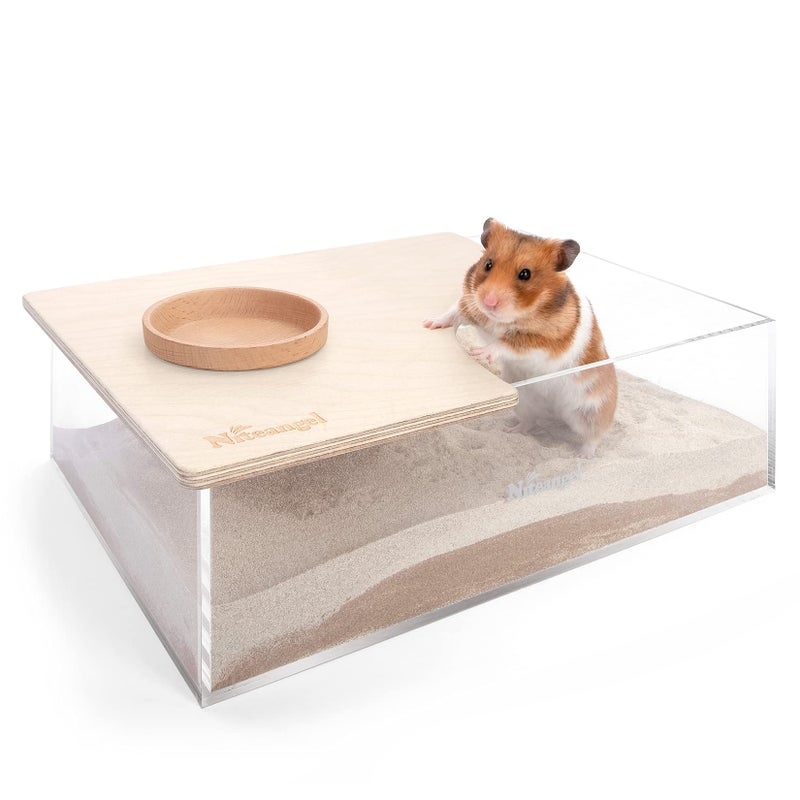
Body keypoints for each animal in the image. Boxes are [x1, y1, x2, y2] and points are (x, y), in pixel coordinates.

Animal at [423, 218, 617, 457]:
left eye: (525, 274)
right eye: (488, 264)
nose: (488, 301)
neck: (504, 319)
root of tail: (554, 413)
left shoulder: (543, 344)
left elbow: (506, 344)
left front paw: (479, 353)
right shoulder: (470, 304)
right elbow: (453, 312)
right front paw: (430, 323)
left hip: (591, 410)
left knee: (594, 436)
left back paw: (582, 455)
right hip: (524, 402)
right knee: (530, 422)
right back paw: (510, 430)